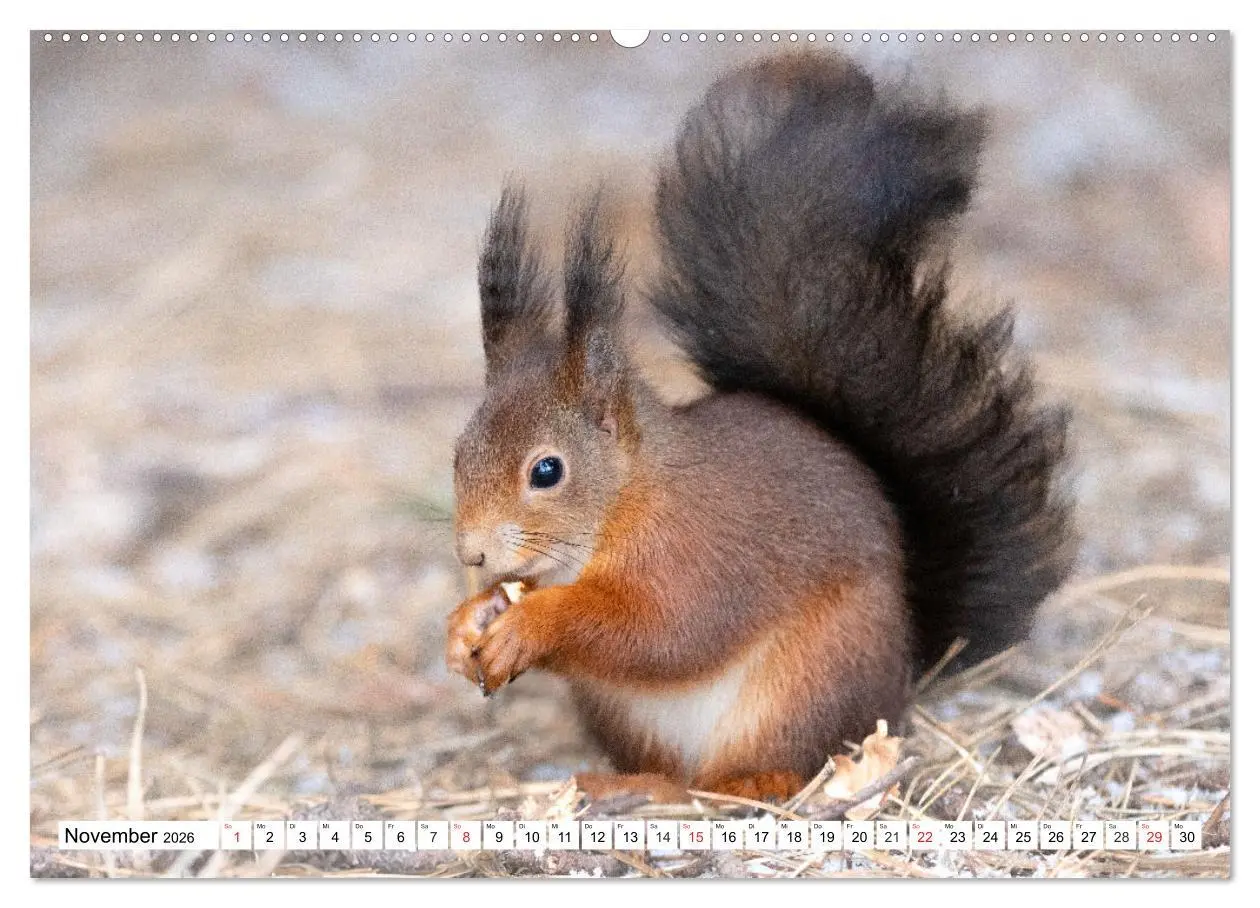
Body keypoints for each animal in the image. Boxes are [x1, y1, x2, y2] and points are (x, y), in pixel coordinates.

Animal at [445, 53, 1074, 802]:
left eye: (547, 470)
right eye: (458, 455)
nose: (471, 554)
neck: (626, 499)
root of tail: (901, 673)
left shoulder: (697, 553)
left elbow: (662, 630)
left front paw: (531, 624)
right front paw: (467, 621)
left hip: (807, 681)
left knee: (762, 766)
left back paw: (749, 782)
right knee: (676, 774)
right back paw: (630, 783)